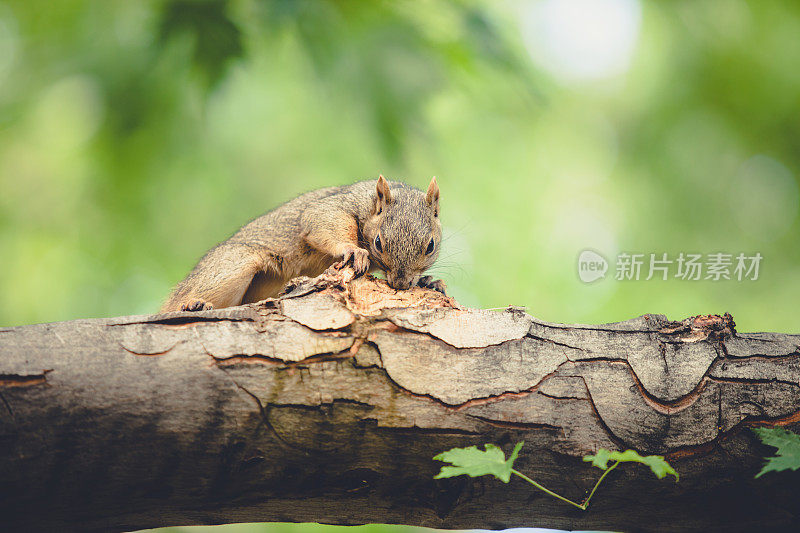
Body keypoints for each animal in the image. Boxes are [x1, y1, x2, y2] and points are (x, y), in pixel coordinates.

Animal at [159, 175, 446, 312]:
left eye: (431, 246)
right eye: (378, 243)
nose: (400, 284)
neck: (371, 203)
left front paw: (429, 281)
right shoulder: (337, 206)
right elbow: (319, 218)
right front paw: (353, 250)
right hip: (234, 263)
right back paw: (192, 304)